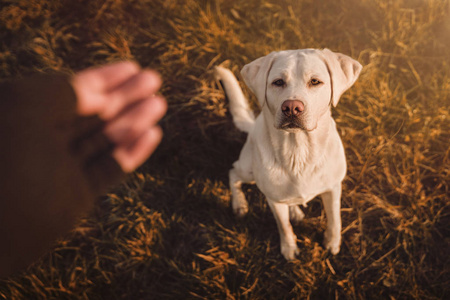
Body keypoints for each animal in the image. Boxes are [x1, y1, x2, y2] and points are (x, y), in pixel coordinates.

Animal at [214, 48, 362, 260]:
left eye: (315, 81)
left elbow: (335, 218)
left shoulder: (333, 188)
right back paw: (239, 204)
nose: (291, 107)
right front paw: (289, 248)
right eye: (278, 82)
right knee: (233, 172)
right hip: (248, 170)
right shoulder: (274, 200)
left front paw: (333, 242)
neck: (299, 150)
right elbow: (283, 226)